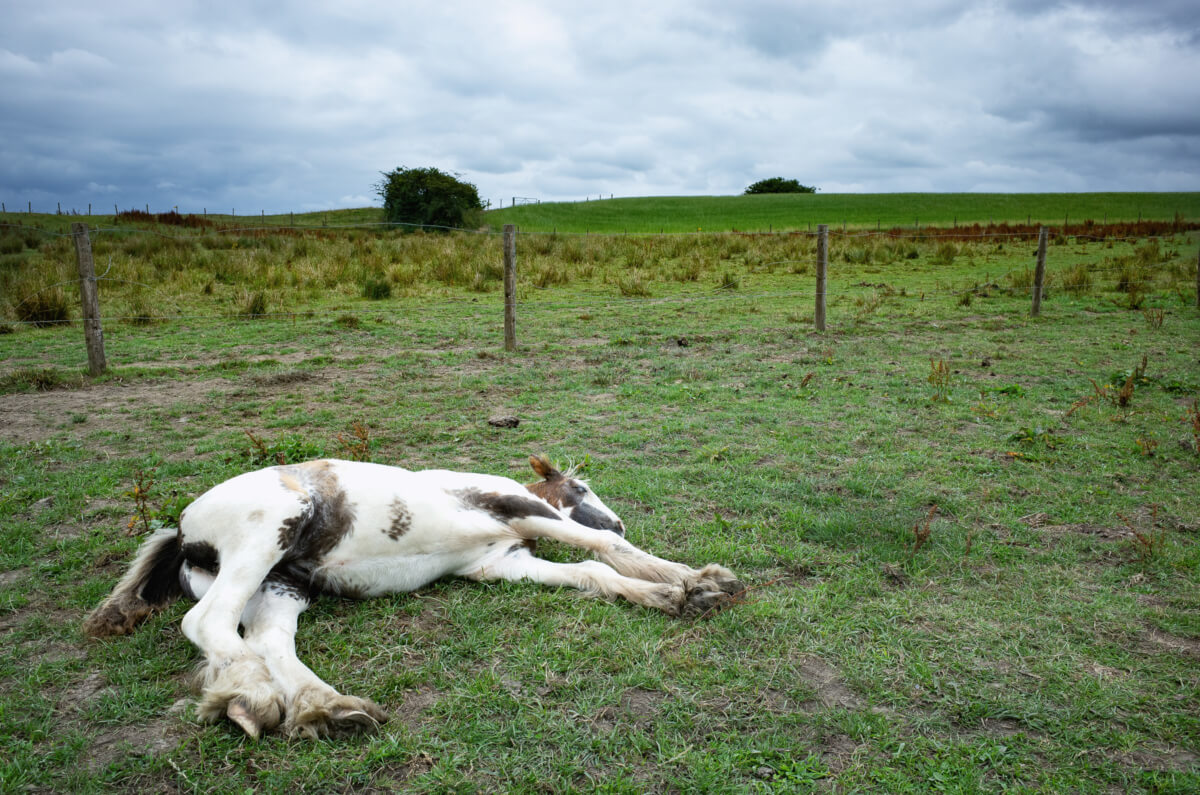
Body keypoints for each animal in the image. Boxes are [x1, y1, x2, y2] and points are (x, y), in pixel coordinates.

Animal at [84, 458, 739, 744]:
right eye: (578, 485)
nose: (623, 519)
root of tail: (181, 531)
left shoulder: (502, 562)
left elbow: (590, 572)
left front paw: (670, 591)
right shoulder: (513, 509)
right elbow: (598, 548)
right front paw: (696, 580)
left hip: (281, 581)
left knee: (269, 639)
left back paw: (323, 708)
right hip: (267, 532)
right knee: (208, 622)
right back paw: (253, 695)